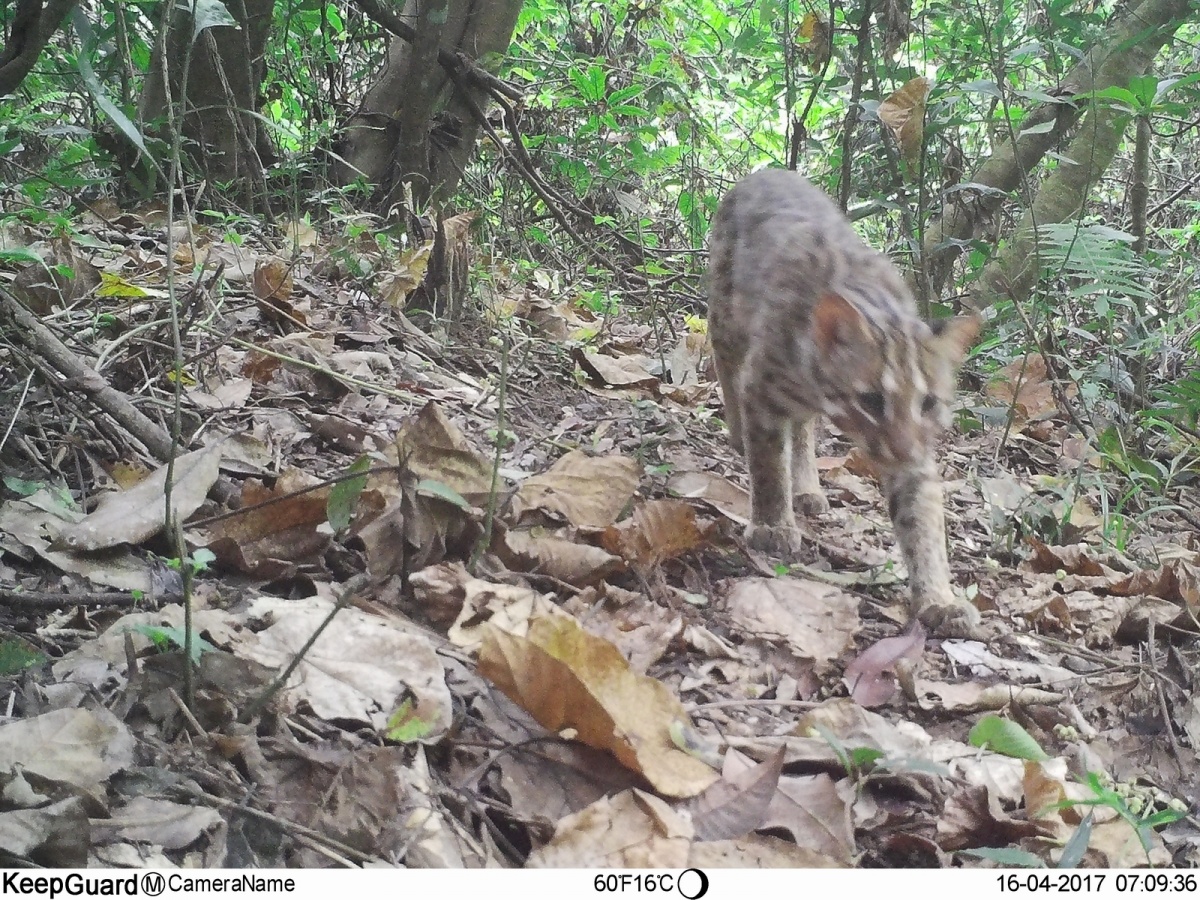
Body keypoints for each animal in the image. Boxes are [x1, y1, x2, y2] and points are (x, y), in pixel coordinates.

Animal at [705, 169, 979, 633]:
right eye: (870, 400)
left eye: (928, 404)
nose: (901, 449)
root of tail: (766, 171)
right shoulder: (759, 387)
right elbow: (767, 465)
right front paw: (773, 525)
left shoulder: (917, 452)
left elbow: (920, 516)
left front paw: (939, 597)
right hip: (726, 317)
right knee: (725, 366)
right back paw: (739, 434)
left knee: (801, 427)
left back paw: (807, 486)